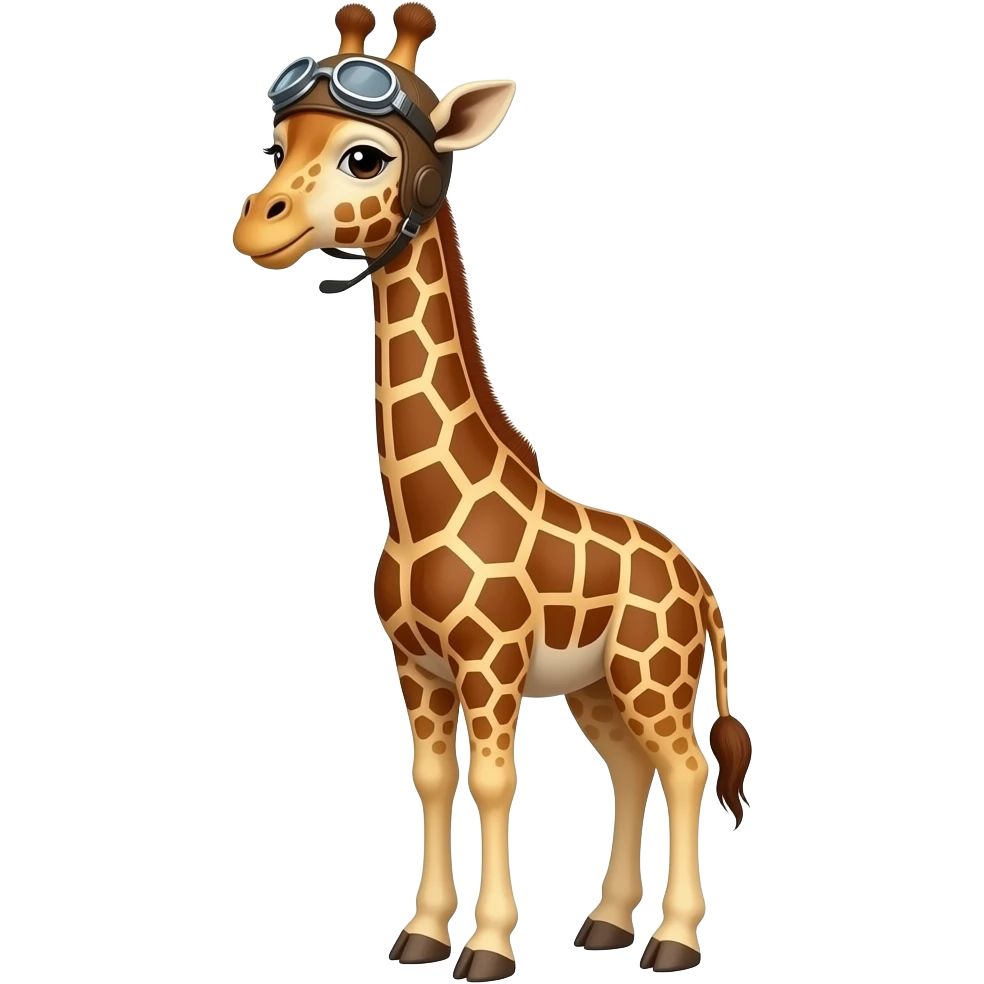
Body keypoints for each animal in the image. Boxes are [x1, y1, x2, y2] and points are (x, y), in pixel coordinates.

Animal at [230, 3, 753, 980]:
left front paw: (488, 949)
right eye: (281, 144)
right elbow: (435, 779)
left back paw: (672, 941)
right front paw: (423, 933)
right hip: (599, 687)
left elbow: (495, 780)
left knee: (688, 766)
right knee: (632, 768)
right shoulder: (416, 666)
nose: (256, 226)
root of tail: (700, 584)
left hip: (654, 672)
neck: (419, 508)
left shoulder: (490, 663)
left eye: (366, 157)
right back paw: (607, 925)